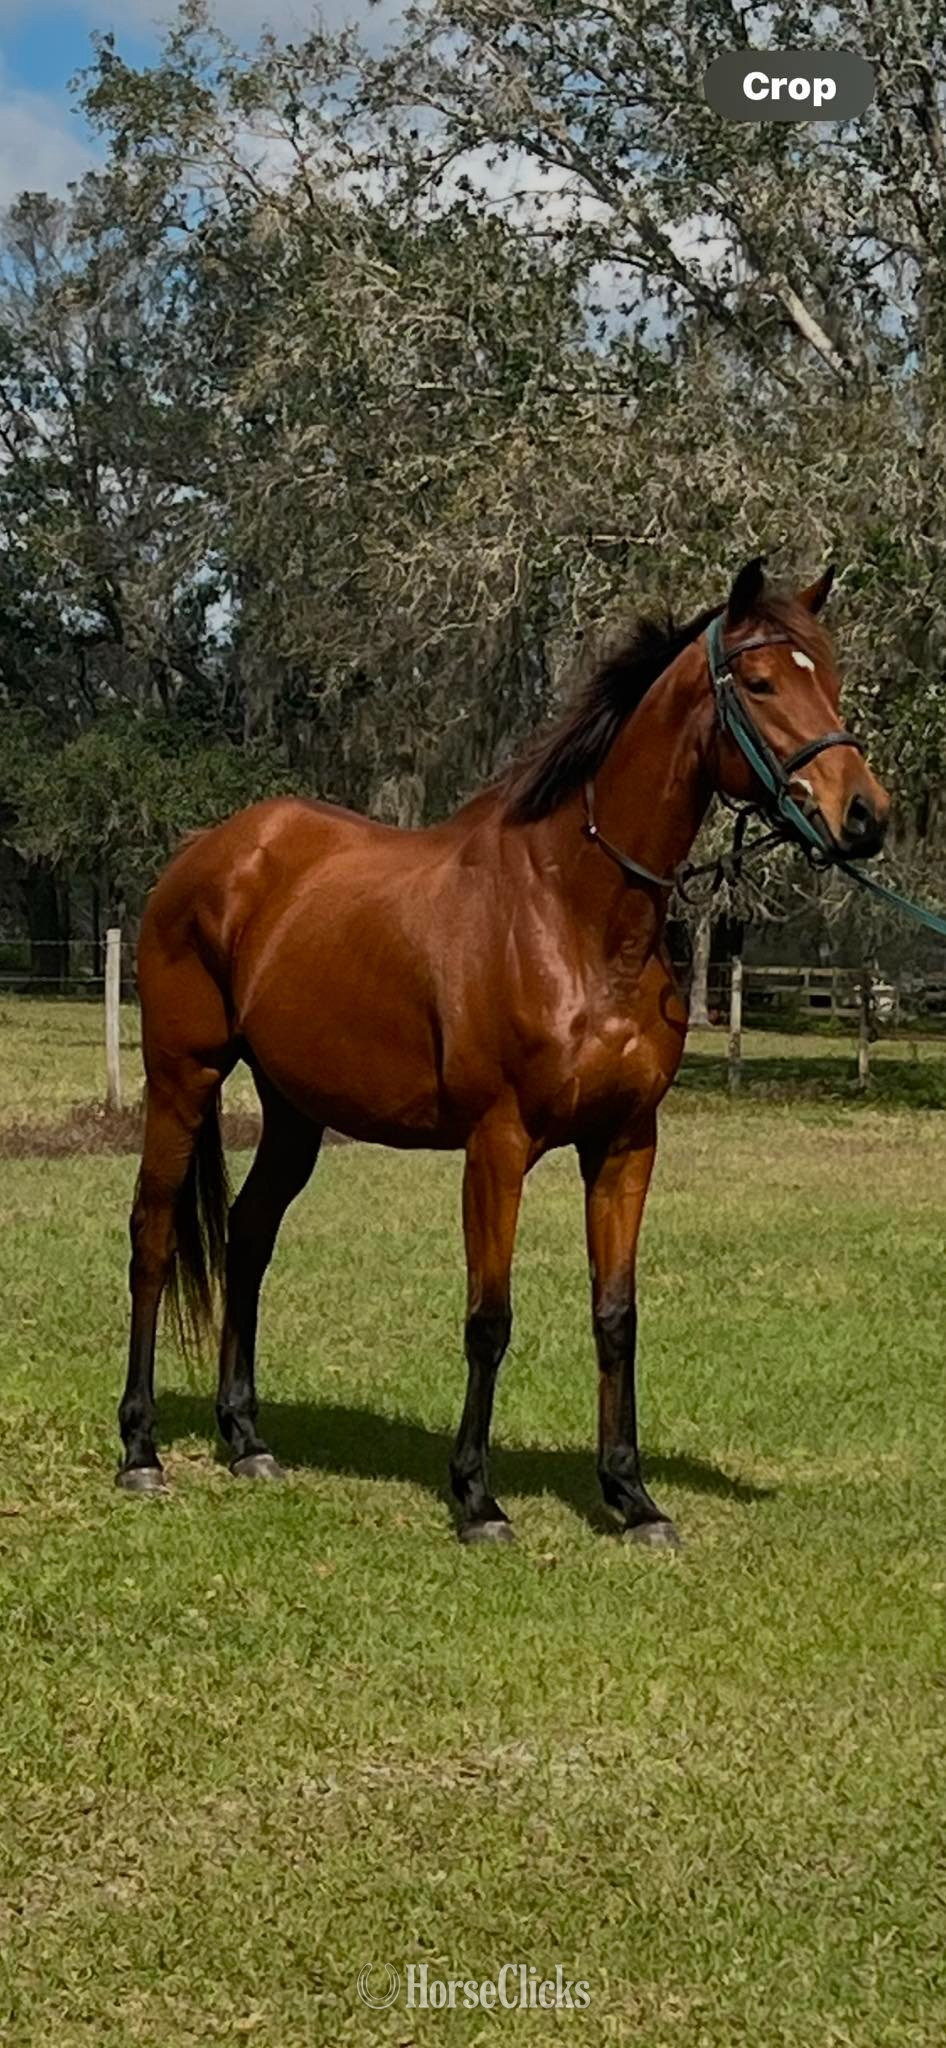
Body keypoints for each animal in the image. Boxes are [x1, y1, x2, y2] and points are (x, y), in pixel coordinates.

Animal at [118, 556, 890, 1547]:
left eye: (828, 675)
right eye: (758, 683)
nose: (864, 816)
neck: (575, 913)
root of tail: (207, 852)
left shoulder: (626, 1145)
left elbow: (616, 1314)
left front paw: (632, 1498)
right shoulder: (498, 1145)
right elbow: (490, 1317)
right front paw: (477, 1498)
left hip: (294, 1112)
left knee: (249, 1237)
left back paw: (247, 1440)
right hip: (183, 1079)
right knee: (151, 1236)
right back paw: (140, 1451)